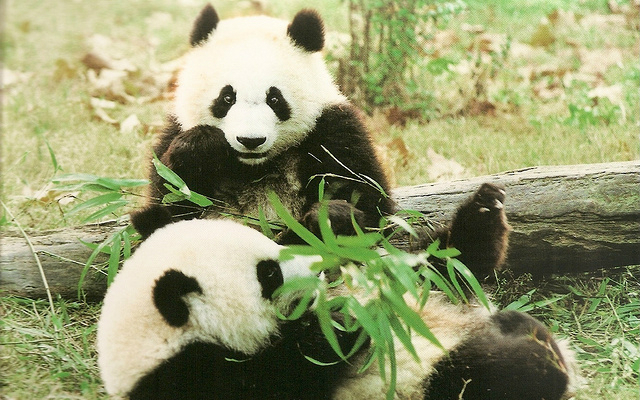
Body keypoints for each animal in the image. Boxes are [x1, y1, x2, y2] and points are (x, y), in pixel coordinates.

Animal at [97, 216, 577, 400]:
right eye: (268, 273)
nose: (321, 270)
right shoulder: (197, 377)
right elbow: (297, 371)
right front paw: (341, 321)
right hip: (423, 382)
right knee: (483, 374)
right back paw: (536, 353)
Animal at [132, 3, 510, 280]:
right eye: (227, 97)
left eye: (274, 99)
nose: (250, 140)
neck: (255, 168)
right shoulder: (172, 134)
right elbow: (171, 201)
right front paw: (201, 147)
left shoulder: (334, 132)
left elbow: (371, 204)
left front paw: (329, 219)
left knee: (439, 264)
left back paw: (481, 216)